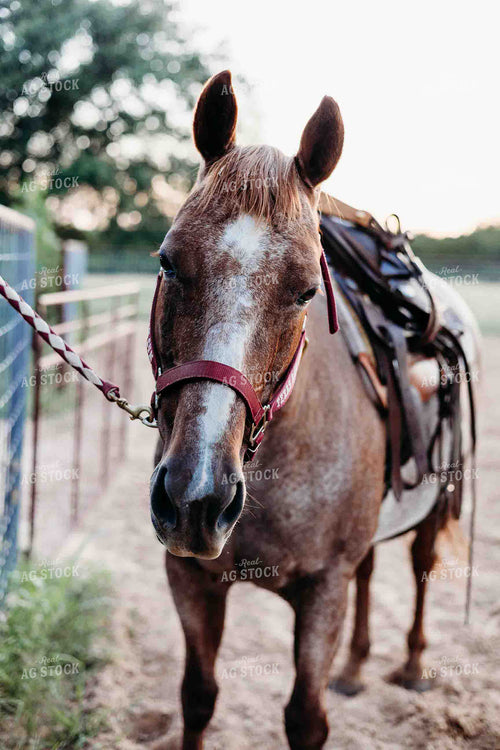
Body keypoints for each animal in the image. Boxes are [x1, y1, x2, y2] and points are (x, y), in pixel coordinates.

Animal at [149, 70, 479, 750]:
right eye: (168, 260)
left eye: (306, 290)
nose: (196, 496)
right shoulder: (189, 578)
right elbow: (197, 697)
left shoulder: (323, 589)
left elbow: (305, 717)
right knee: (372, 570)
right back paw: (353, 667)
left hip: (438, 501)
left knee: (421, 567)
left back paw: (411, 664)